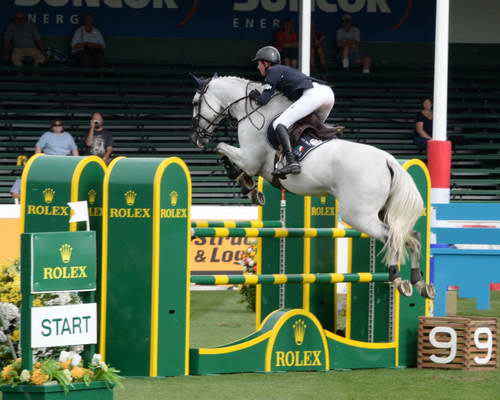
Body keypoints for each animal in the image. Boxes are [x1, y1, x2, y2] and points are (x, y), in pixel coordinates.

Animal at [190, 76, 434, 300]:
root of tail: (388, 161)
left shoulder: (250, 159)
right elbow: (226, 153)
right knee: (412, 236)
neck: (255, 112)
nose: (196, 138)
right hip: (381, 212)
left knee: (393, 236)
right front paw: (250, 187)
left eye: (195, 102)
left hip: (358, 215)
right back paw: (420, 283)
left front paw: (246, 184)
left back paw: (398, 278)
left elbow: (222, 148)